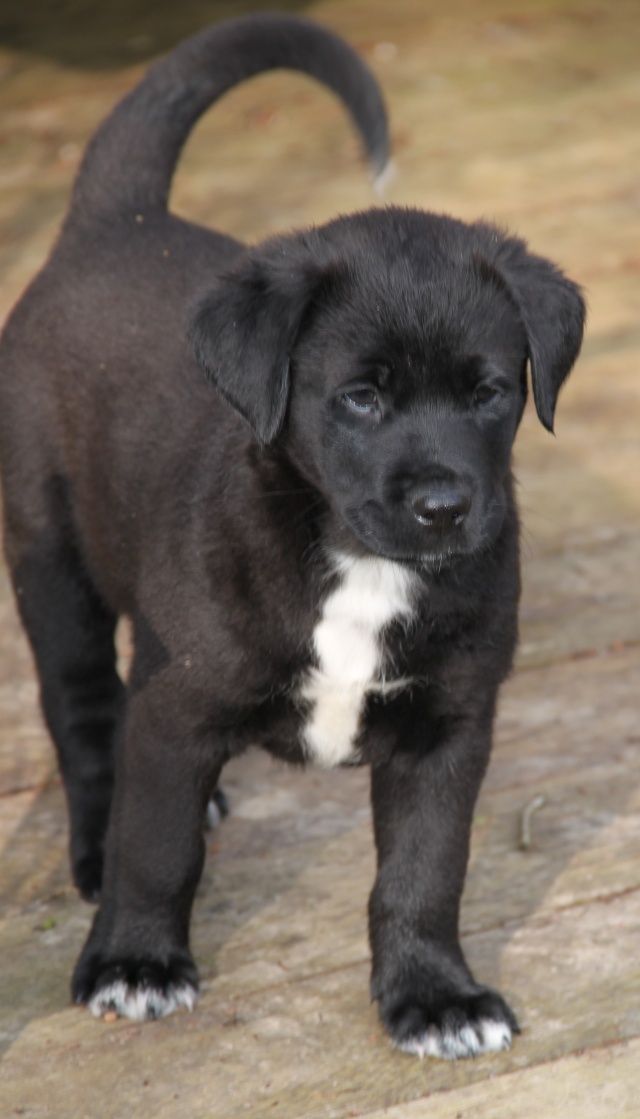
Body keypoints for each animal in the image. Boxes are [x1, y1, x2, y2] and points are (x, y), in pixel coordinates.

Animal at [0, 15, 586, 1056]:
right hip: (49, 556)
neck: (355, 561)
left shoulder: (450, 724)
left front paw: (435, 995)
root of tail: (120, 220)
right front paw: (136, 959)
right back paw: (95, 843)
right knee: (83, 711)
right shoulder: (175, 709)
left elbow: (425, 873)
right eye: (361, 398)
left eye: (489, 392)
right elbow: (155, 846)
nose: (445, 505)